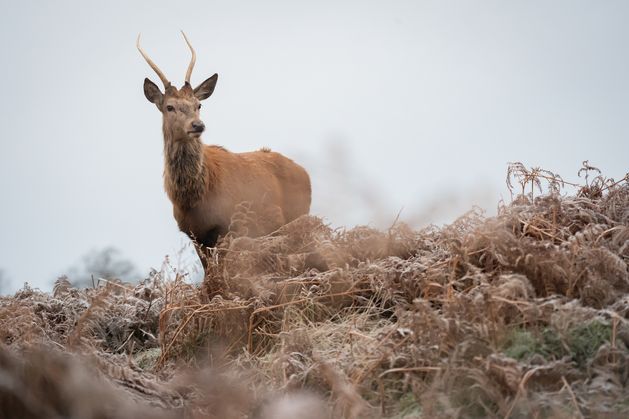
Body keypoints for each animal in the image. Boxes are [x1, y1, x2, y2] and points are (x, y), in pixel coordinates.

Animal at [139, 32, 312, 270]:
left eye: (198, 105)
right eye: (169, 107)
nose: (197, 125)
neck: (193, 199)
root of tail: (306, 174)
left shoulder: (225, 226)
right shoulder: (194, 234)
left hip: (297, 217)